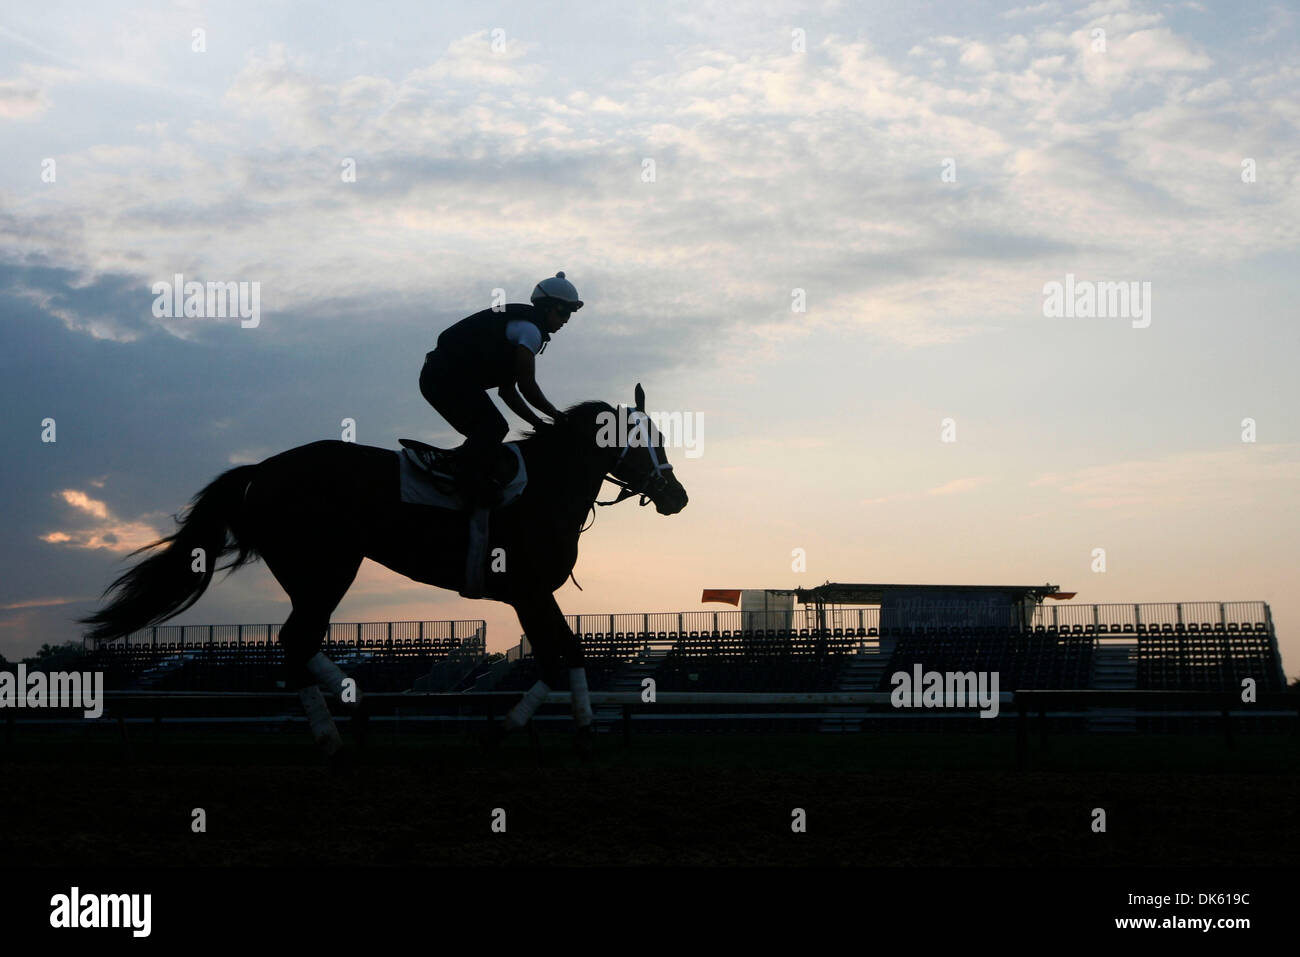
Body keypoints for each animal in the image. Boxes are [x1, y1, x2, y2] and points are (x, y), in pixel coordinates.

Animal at [81, 384, 691, 759]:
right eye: (638, 439)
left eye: (659, 437)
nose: (676, 496)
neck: (544, 487)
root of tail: (264, 470)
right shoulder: (528, 591)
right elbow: (556, 654)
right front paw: (520, 730)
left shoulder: (534, 593)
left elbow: (566, 651)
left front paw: (575, 731)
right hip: (327, 566)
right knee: (296, 640)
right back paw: (335, 735)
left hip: (317, 570)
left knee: (301, 643)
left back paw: (355, 714)